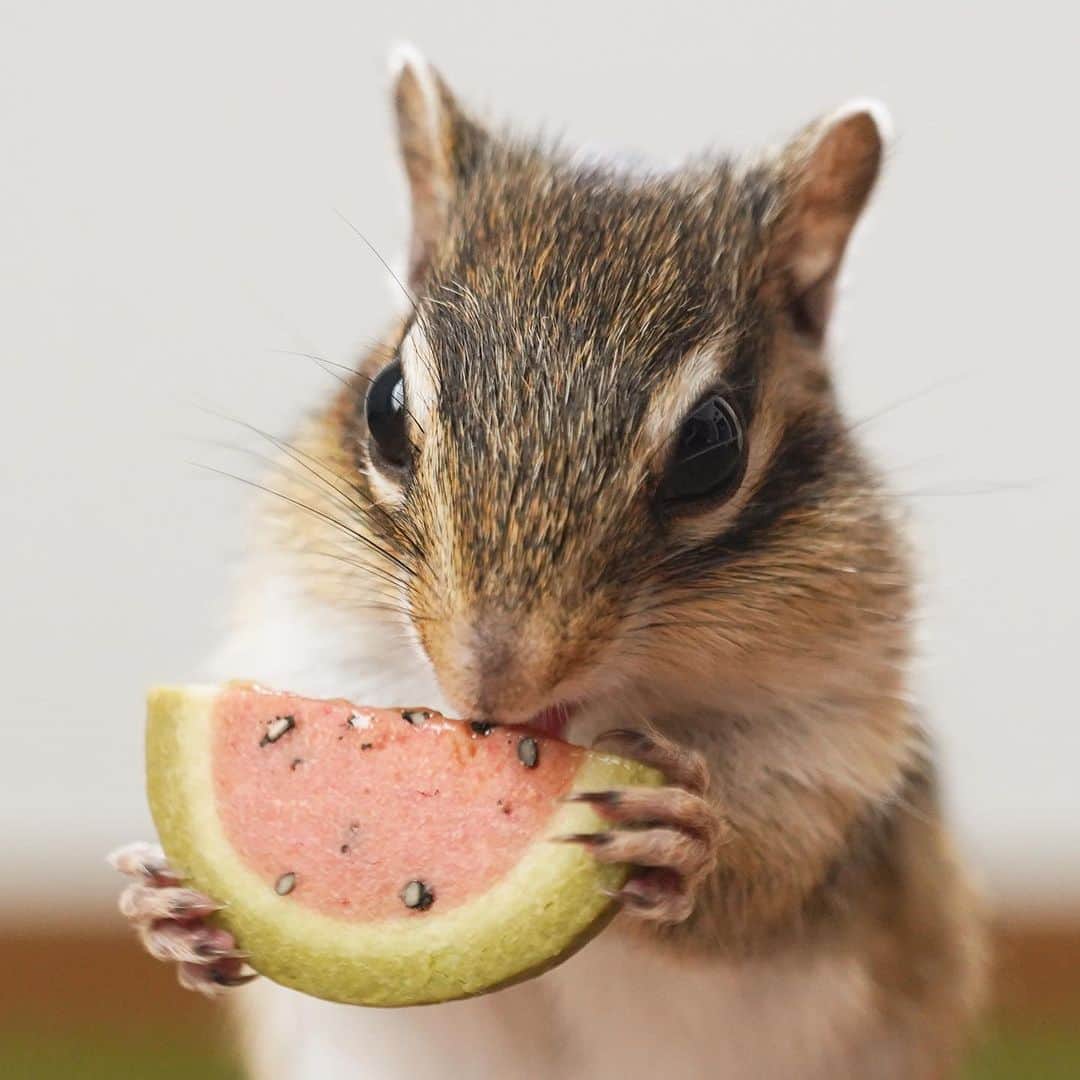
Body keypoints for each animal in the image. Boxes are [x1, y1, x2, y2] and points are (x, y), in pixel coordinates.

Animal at [110, 48, 986, 1080]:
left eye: (712, 447)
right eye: (384, 404)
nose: (491, 686)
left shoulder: (836, 749)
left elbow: (772, 874)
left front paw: (689, 837)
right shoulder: (309, 637)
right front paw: (167, 908)